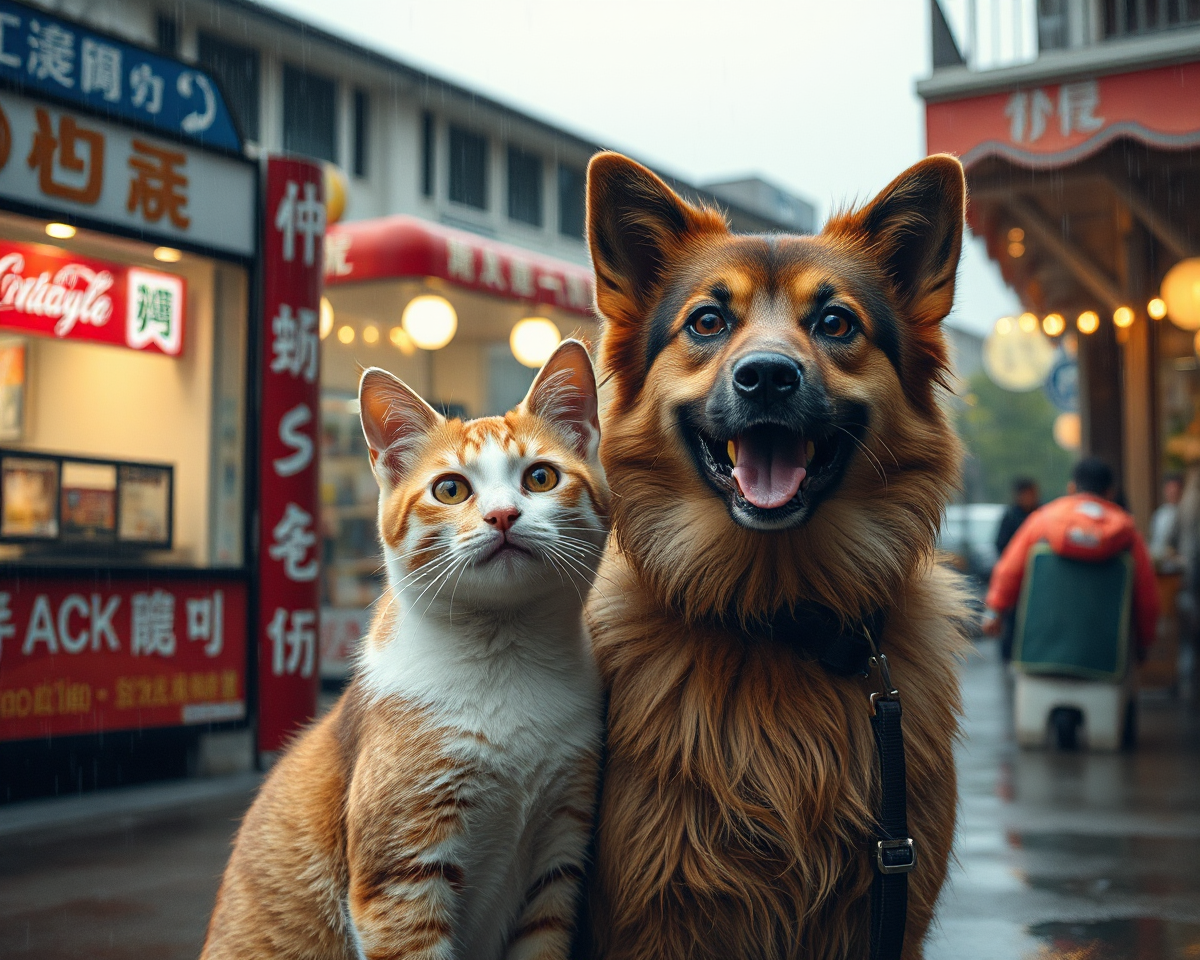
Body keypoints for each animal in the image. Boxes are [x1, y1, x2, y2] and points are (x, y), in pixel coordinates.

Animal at [204, 340, 609, 955]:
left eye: (540, 478)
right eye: (451, 489)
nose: (503, 515)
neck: (505, 656)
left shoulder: (559, 855)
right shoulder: (400, 877)